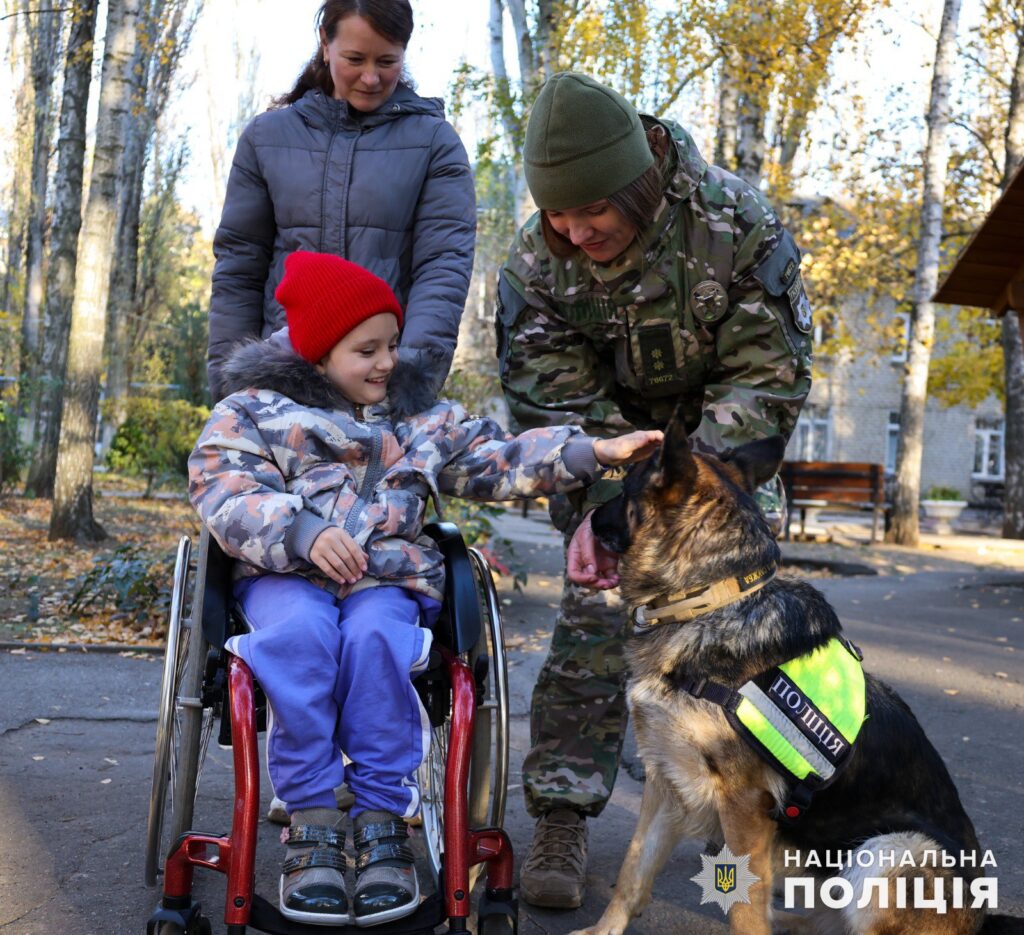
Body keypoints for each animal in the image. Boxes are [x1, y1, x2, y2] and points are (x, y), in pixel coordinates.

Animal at [577, 417, 999, 933]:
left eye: (624, 489)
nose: (587, 518)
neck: (712, 599)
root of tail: (983, 915)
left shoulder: (743, 804)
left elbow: (742, 909)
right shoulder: (666, 781)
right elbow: (634, 868)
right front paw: (604, 928)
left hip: (889, 852)